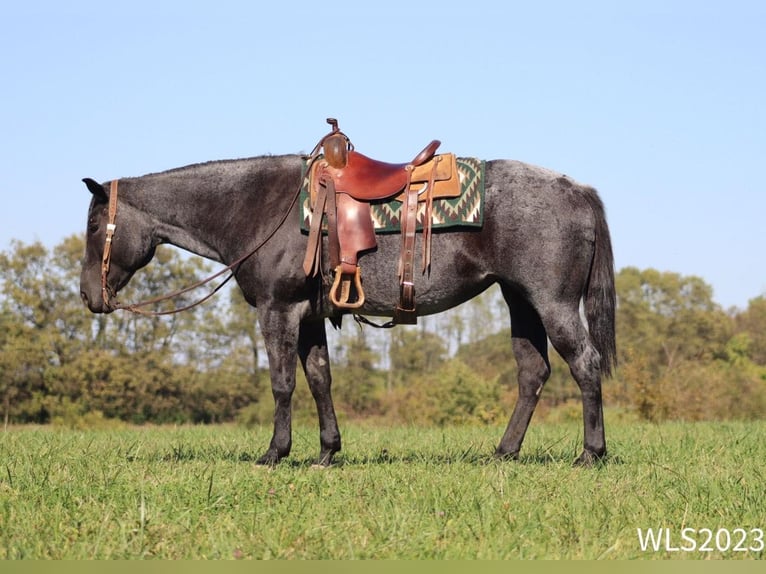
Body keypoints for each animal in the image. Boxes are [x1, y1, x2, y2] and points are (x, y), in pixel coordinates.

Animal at [79, 148, 616, 468]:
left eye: (93, 227)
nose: (88, 295)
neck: (258, 207)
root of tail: (578, 191)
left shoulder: (278, 311)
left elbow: (282, 383)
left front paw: (274, 453)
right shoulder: (310, 316)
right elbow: (319, 379)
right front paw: (326, 453)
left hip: (552, 303)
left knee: (584, 365)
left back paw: (591, 454)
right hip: (519, 301)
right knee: (533, 372)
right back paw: (504, 452)